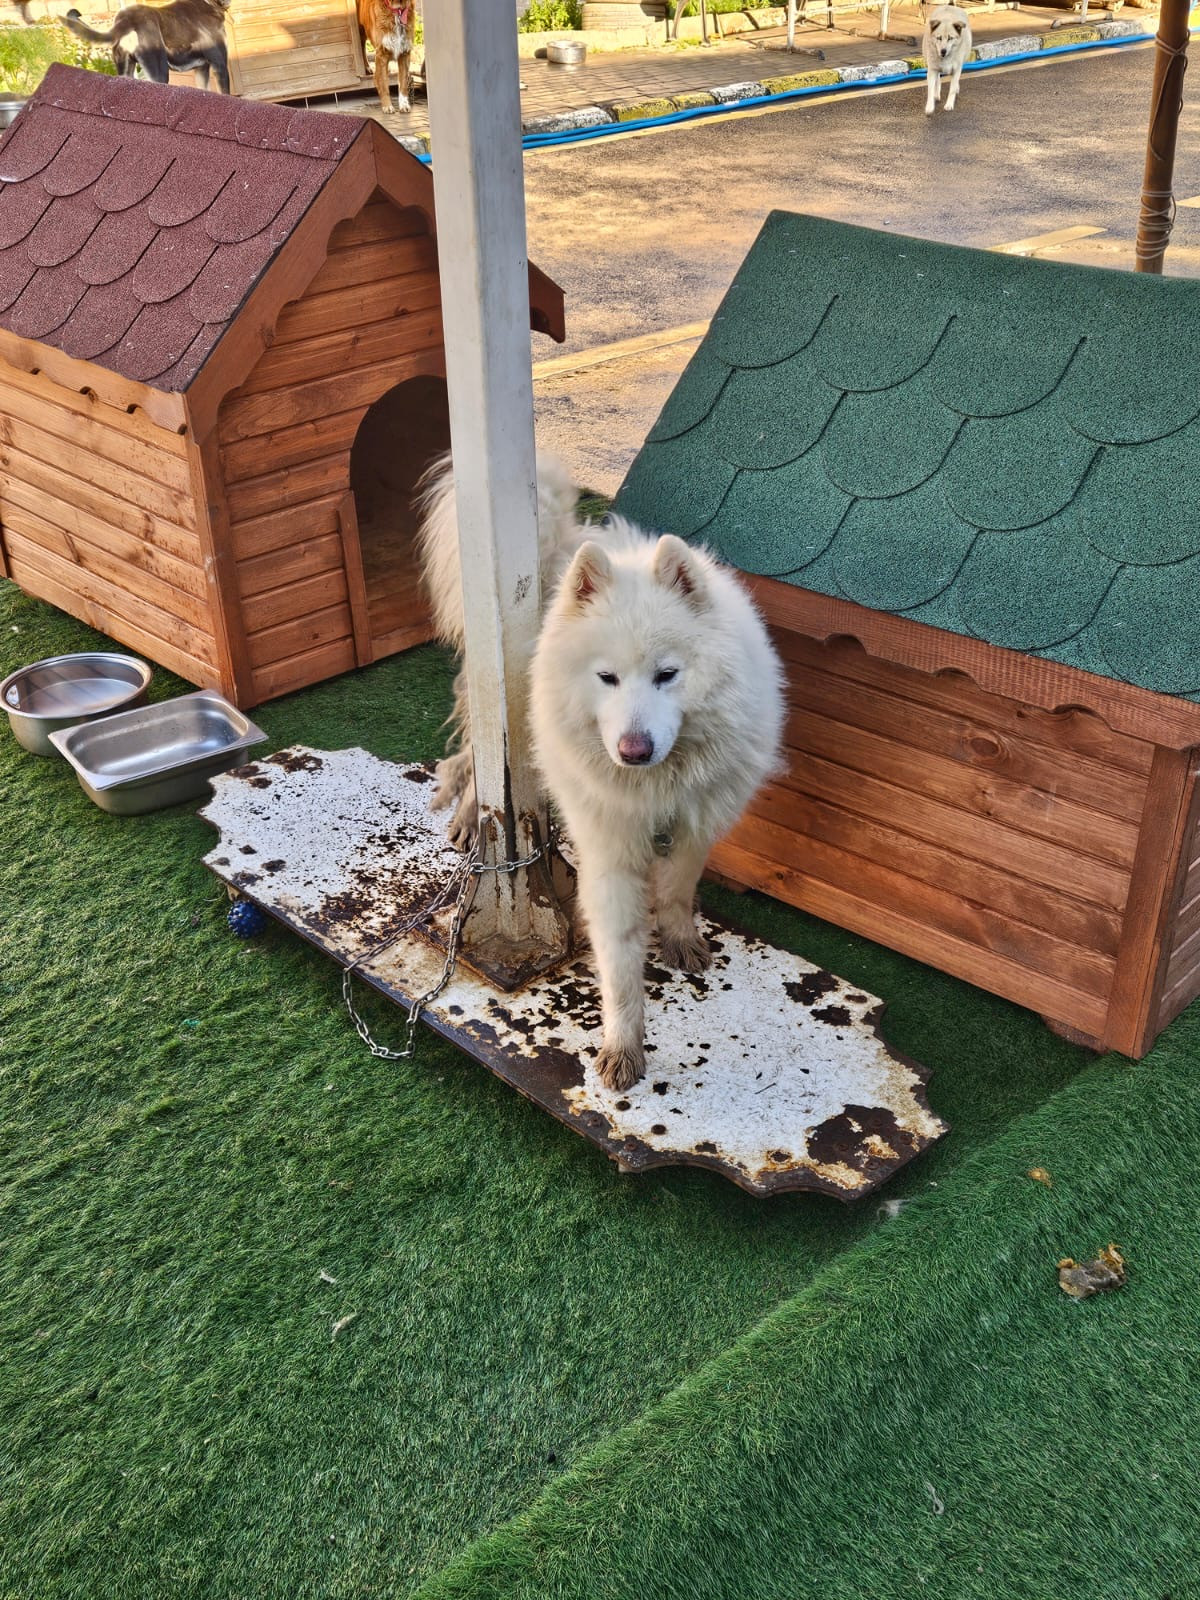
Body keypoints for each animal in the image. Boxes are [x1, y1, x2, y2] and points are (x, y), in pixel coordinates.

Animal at [416, 454, 785, 1092]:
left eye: (667, 674)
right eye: (607, 677)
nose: (633, 750)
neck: (655, 787)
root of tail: (570, 541)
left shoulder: (694, 827)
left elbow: (678, 891)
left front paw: (680, 940)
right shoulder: (609, 855)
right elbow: (619, 964)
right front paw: (622, 1047)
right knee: (476, 758)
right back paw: (466, 817)